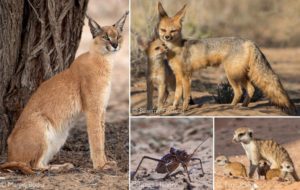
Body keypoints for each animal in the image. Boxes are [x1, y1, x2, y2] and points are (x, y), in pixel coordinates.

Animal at [0, 11, 127, 174]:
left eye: (118, 36)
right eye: (105, 37)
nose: (115, 45)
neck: (104, 59)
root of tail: (9, 155)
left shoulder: (102, 109)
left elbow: (102, 136)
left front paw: (105, 162)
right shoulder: (93, 109)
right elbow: (96, 137)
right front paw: (101, 166)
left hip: (60, 136)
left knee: (38, 163)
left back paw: (64, 166)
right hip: (41, 123)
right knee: (32, 165)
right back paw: (61, 168)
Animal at [157, 2, 296, 114]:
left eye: (173, 31)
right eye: (163, 30)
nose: (166, 37)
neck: (176, 49)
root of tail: (248, 41)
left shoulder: (187, 75)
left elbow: (185, 95)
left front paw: (184, 108)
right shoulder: (178, 76)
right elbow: (177, 95)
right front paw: (174, 108)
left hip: (232, 75)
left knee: (239, 91)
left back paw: (230, 106)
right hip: (241, 74)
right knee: (250, 89)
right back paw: (244, 106)